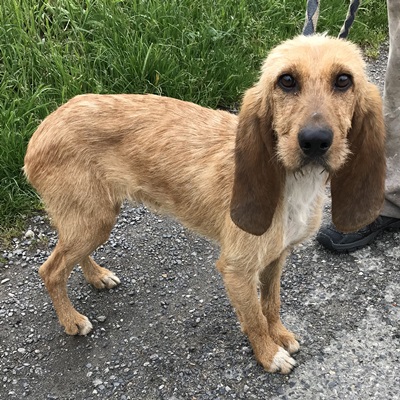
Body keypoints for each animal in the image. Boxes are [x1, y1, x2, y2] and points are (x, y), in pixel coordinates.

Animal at [24, 32, 384, 374]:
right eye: (286, 80)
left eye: (343, 80)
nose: (315, 141)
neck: (290, 180)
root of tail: (43, 128)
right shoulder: (237, 270)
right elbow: (254, 317)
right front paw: (269, 355)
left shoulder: (276, 257)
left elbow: (271, 303)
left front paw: (279, 334)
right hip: (93, 219)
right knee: (51, 270)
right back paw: (71, 319)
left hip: (92, 219)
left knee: (71, 256)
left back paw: (96, 276)